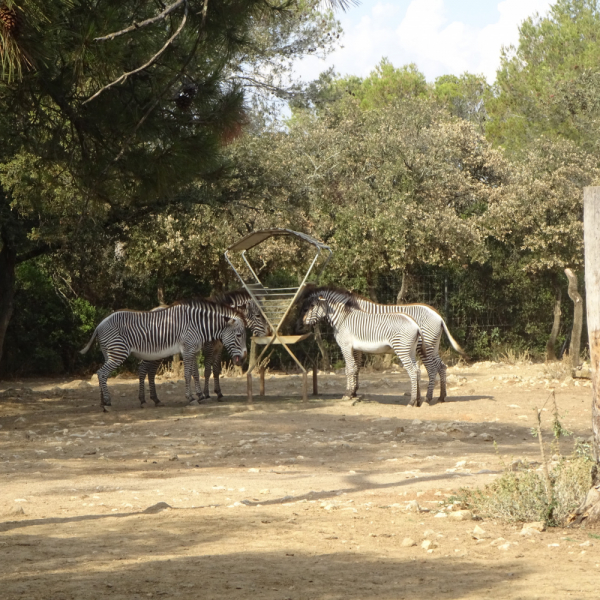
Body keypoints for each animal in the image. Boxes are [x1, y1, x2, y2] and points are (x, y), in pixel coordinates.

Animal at [81, 298, 247, 410]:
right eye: (239, 335)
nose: (244, 358)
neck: (198, 325)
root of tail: (99, 325)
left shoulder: (193, 350)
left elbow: (195, 373)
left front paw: (200, 396)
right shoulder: (188, 349)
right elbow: (187, 374)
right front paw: (191, 398)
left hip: (109, 353)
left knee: (103, 374)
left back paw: (103, 402)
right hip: (118, 352)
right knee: (102, 373)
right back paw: (108, 402)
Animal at [137, 292, 270, 408]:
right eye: (258, 316)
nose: (268, 333)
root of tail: (152, 310)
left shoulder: (218, 348)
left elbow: (215, 370)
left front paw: (218, 393)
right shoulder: (207, 348)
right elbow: (206, 371)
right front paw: (205, 394)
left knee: (151, 372)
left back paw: (155, 399)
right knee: (143, 369)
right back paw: (143, 400)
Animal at [302, 284, 466, 404]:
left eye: (311, 306)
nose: (303, 322)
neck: (346, 315)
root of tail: (438, 316)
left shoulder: (348, 346)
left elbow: (351, 368)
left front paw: (349, 393)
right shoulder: (356, 347)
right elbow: (356, 368)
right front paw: (354, 392)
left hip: (424, 347)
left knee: (431, 369)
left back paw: (426, 398)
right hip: (432, 346)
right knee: (441, 366)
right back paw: (440, 397)